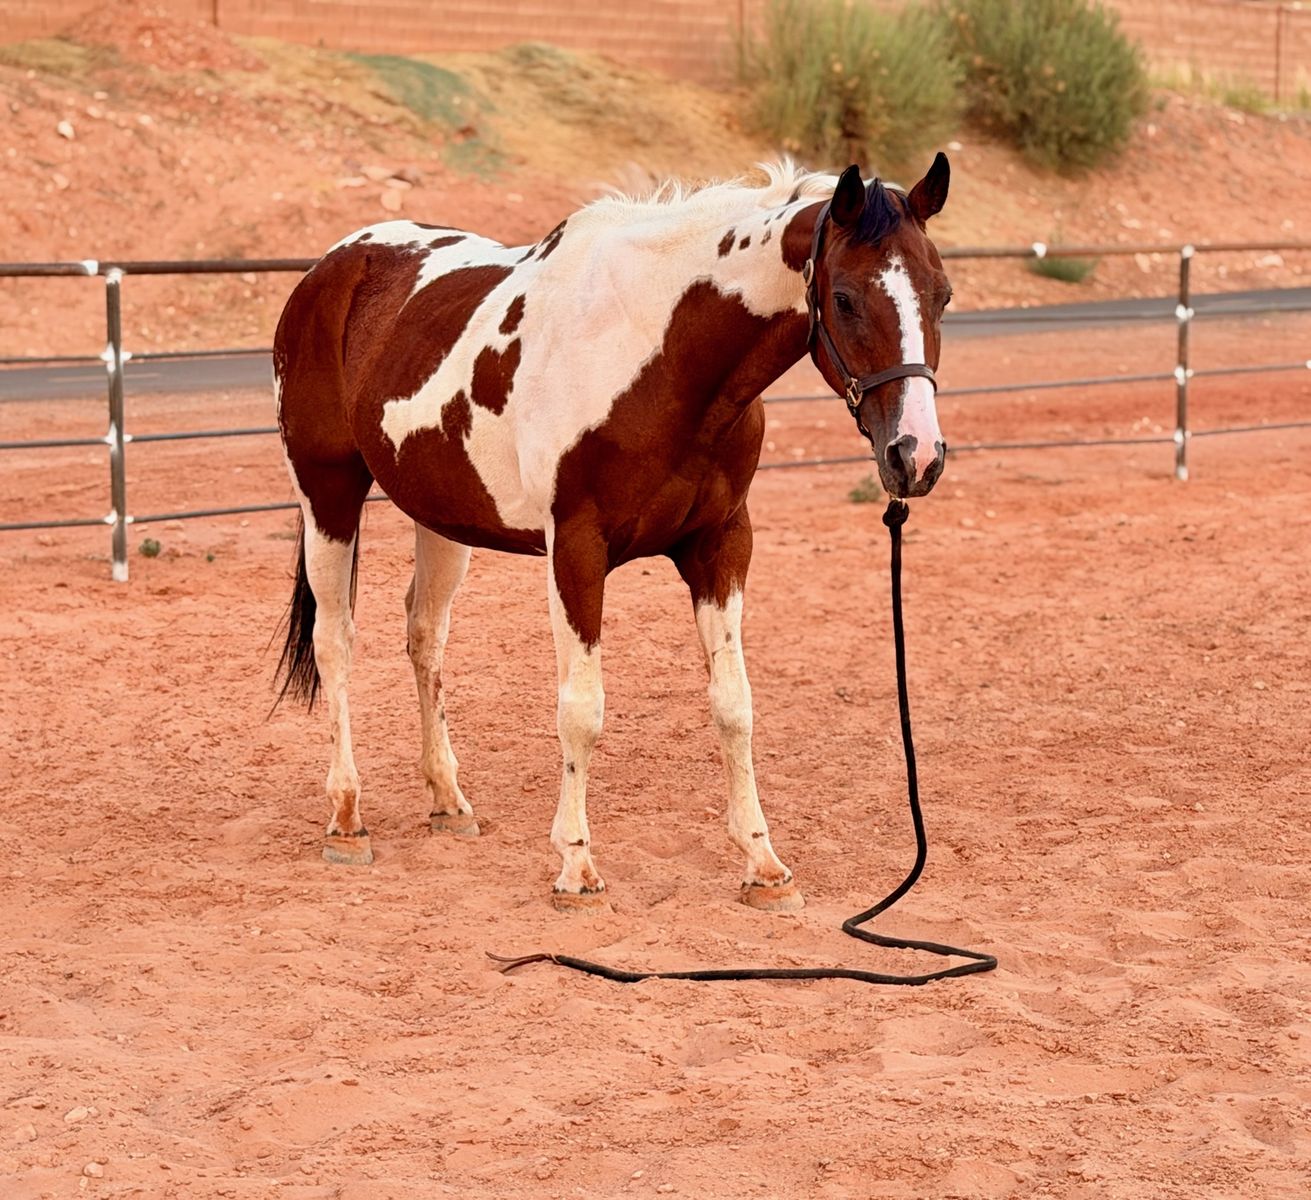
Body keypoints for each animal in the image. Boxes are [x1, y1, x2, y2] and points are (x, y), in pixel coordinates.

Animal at [273, 155, 952, 911]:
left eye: (942, 295)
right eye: (844, 298)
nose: (915, 455)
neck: (653, 354)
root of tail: (334, 266)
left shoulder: (721, 544)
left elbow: (734, 703)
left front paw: (764, 864)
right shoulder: (575, 549)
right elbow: (582, 709)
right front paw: (576, 867)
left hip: (440, 517)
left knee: (425, 637)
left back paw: (448, 803)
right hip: (327, 492)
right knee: (336, 641)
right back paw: (346, 820)